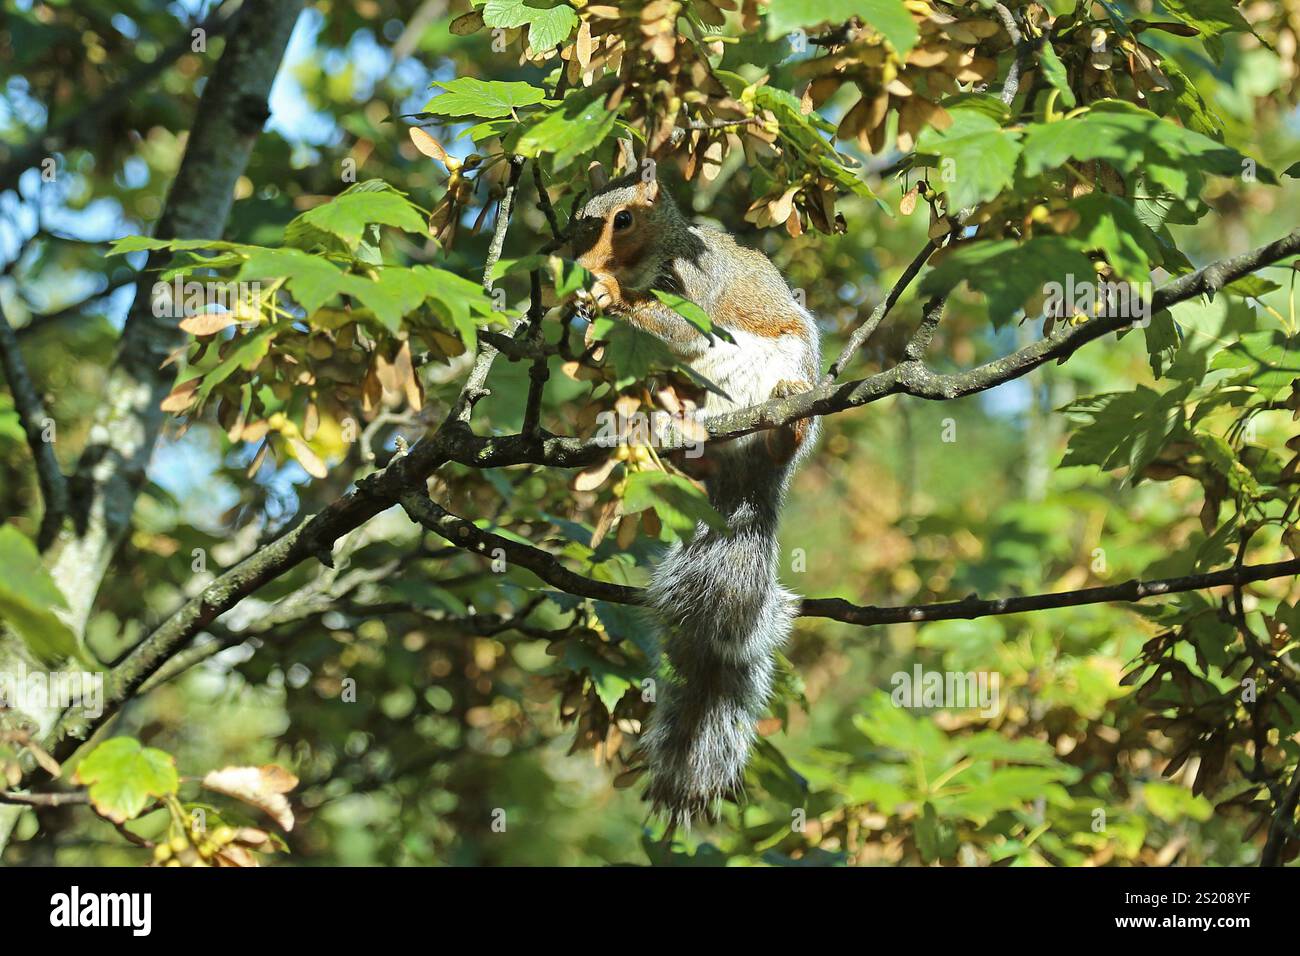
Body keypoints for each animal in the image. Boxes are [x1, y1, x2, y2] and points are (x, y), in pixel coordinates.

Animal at [570, 169, 821, 827]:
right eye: (583, 219)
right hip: (681, 393)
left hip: (783, 378)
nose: (583, 267)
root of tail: (746, 482)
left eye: (624, 219)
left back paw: (784, 430)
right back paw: (686, 444)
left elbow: (685, 324)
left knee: (778, 431)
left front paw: (608, 297)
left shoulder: (696, 286)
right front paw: (593, 318)